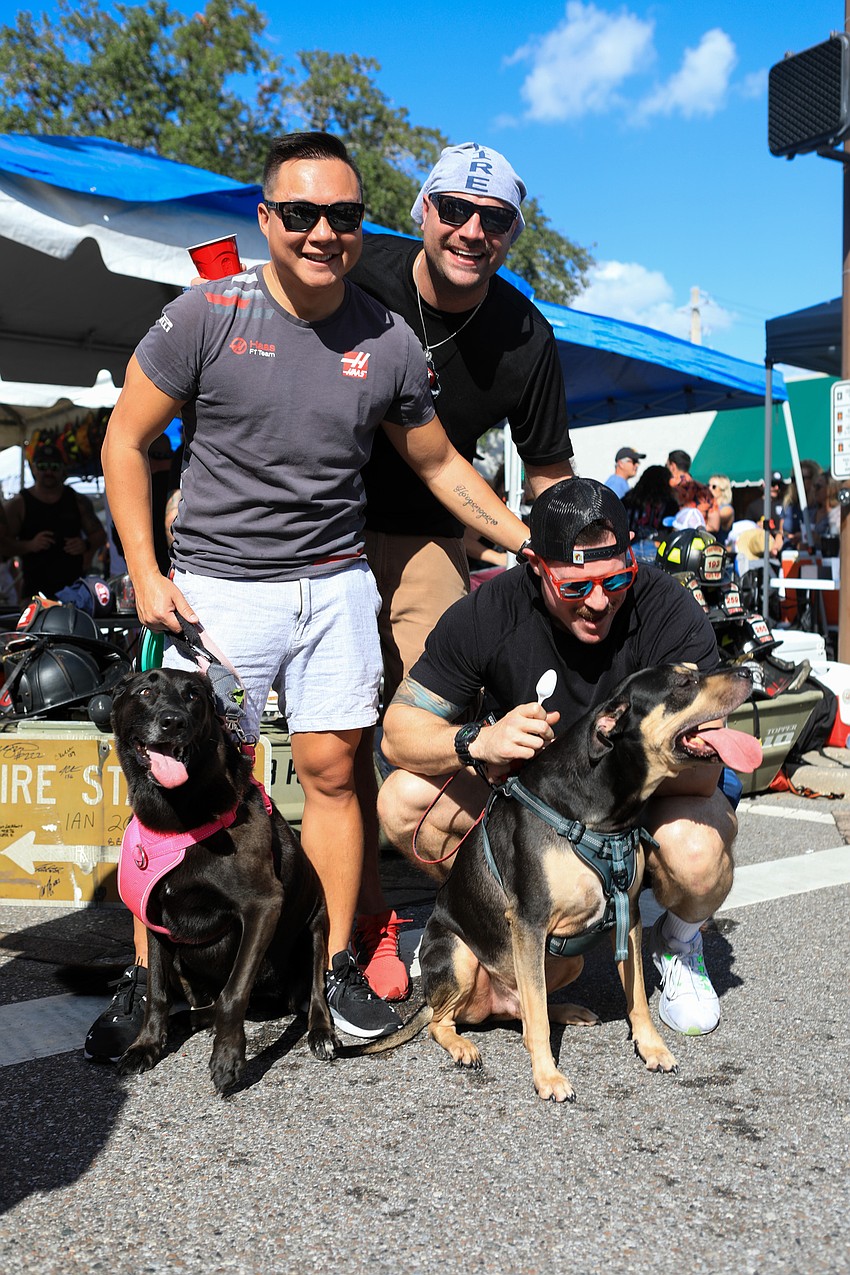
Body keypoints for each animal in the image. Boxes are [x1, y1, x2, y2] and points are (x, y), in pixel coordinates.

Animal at [111, 667, 339, 1093]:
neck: (178, 817)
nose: (173, 722)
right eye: (145, 691)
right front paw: (147, 1045)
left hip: (315, 928)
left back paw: (321, 1033)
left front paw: (228, 1057)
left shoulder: (263, 906)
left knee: (315, 990)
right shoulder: (153, 918)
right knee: (205, 1005)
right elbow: (156, 993)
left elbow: (235, 991)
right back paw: (182, 1021)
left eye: (193, 696)